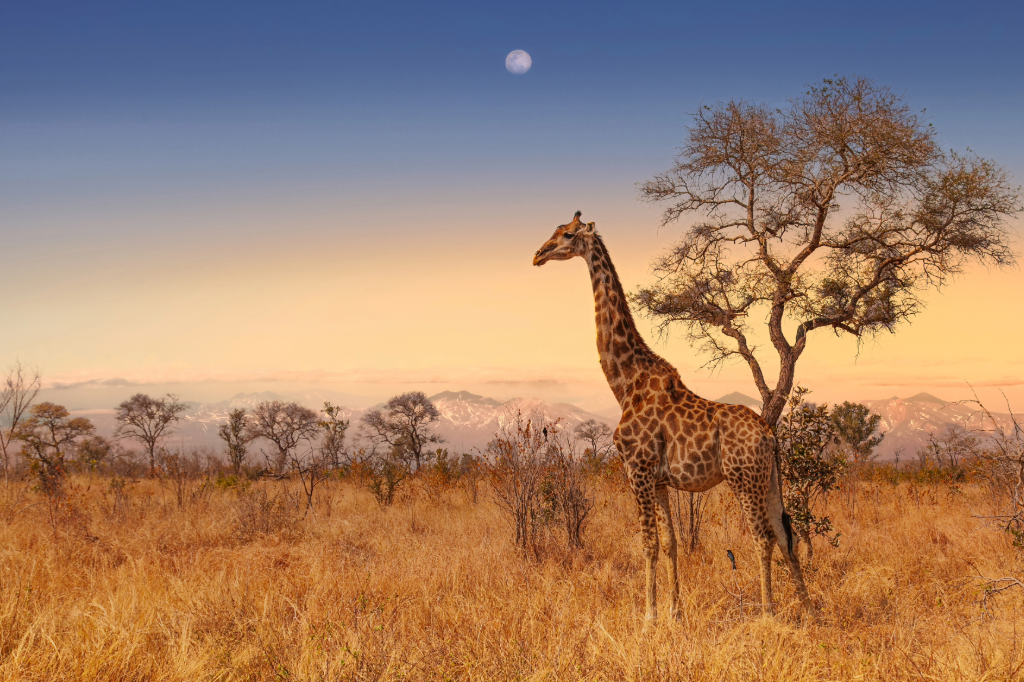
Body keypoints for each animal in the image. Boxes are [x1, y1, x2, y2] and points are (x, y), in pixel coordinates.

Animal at [533, 211, 813, 621]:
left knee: (762, 537)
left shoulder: (637, 469)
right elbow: (670, 543)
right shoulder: (660, 480)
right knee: (784, 533)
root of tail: (770, 435)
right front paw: (674, 613)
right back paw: (811, 610)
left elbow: (648, 543)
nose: (538, 254)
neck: (625, 382)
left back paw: (768, 612)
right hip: (771, 479)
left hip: (743, 478)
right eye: (554, 231)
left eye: (567, 235)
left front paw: (649, 615)